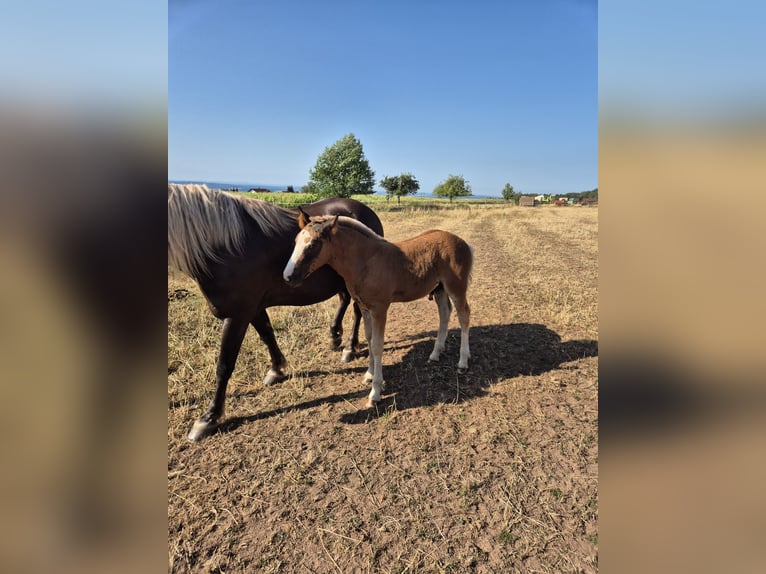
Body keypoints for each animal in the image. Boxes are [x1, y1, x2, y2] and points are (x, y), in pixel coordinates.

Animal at [168, 184, 384, 440]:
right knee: (345, 302)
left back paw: (350, 346)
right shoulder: (253, 309)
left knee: (358, 312)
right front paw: (277, 368)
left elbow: (224, 365)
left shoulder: (237, 315)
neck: (225, 247)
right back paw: (335, 337)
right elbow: (267, 335)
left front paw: (209, 417)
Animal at [283, 210, 473, 408]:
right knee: (444, 313)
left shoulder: (380, 309)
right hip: (440, 289)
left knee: (464, 315)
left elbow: (376, 345)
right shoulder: (365, 308)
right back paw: (435, 353)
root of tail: (463, 242)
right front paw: (369, 374)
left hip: (456, 287)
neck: (366, 261)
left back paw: (463, 361)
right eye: (296, 241)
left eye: (313, 244)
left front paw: (375, 392)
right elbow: (368, 338)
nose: (288, 277)